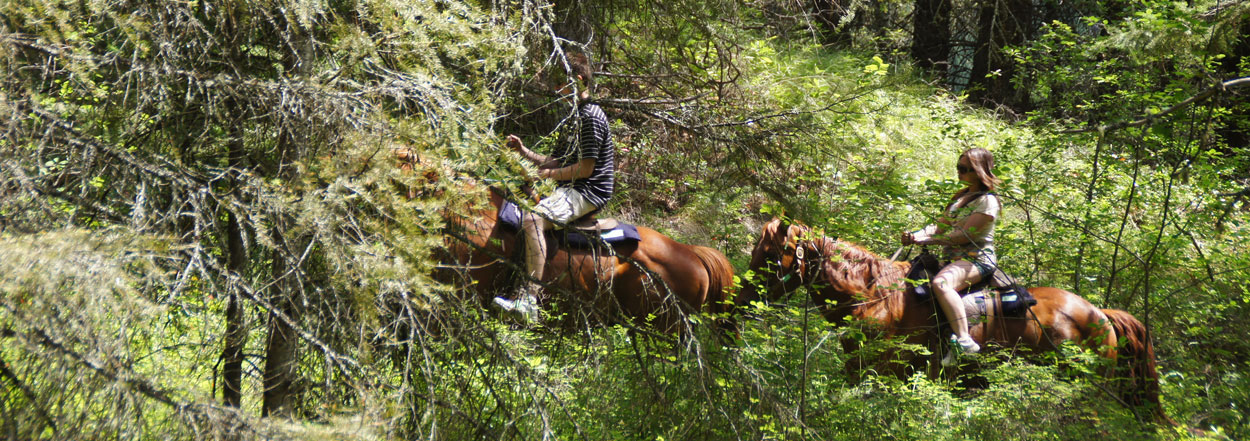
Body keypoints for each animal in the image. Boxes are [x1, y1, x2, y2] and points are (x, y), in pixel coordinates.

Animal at [740, 216, 1170, 422]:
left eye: (770, 254)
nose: (740, 301)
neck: (876, 298)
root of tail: (1101, 316)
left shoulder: (886, 372)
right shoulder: (857, 370)